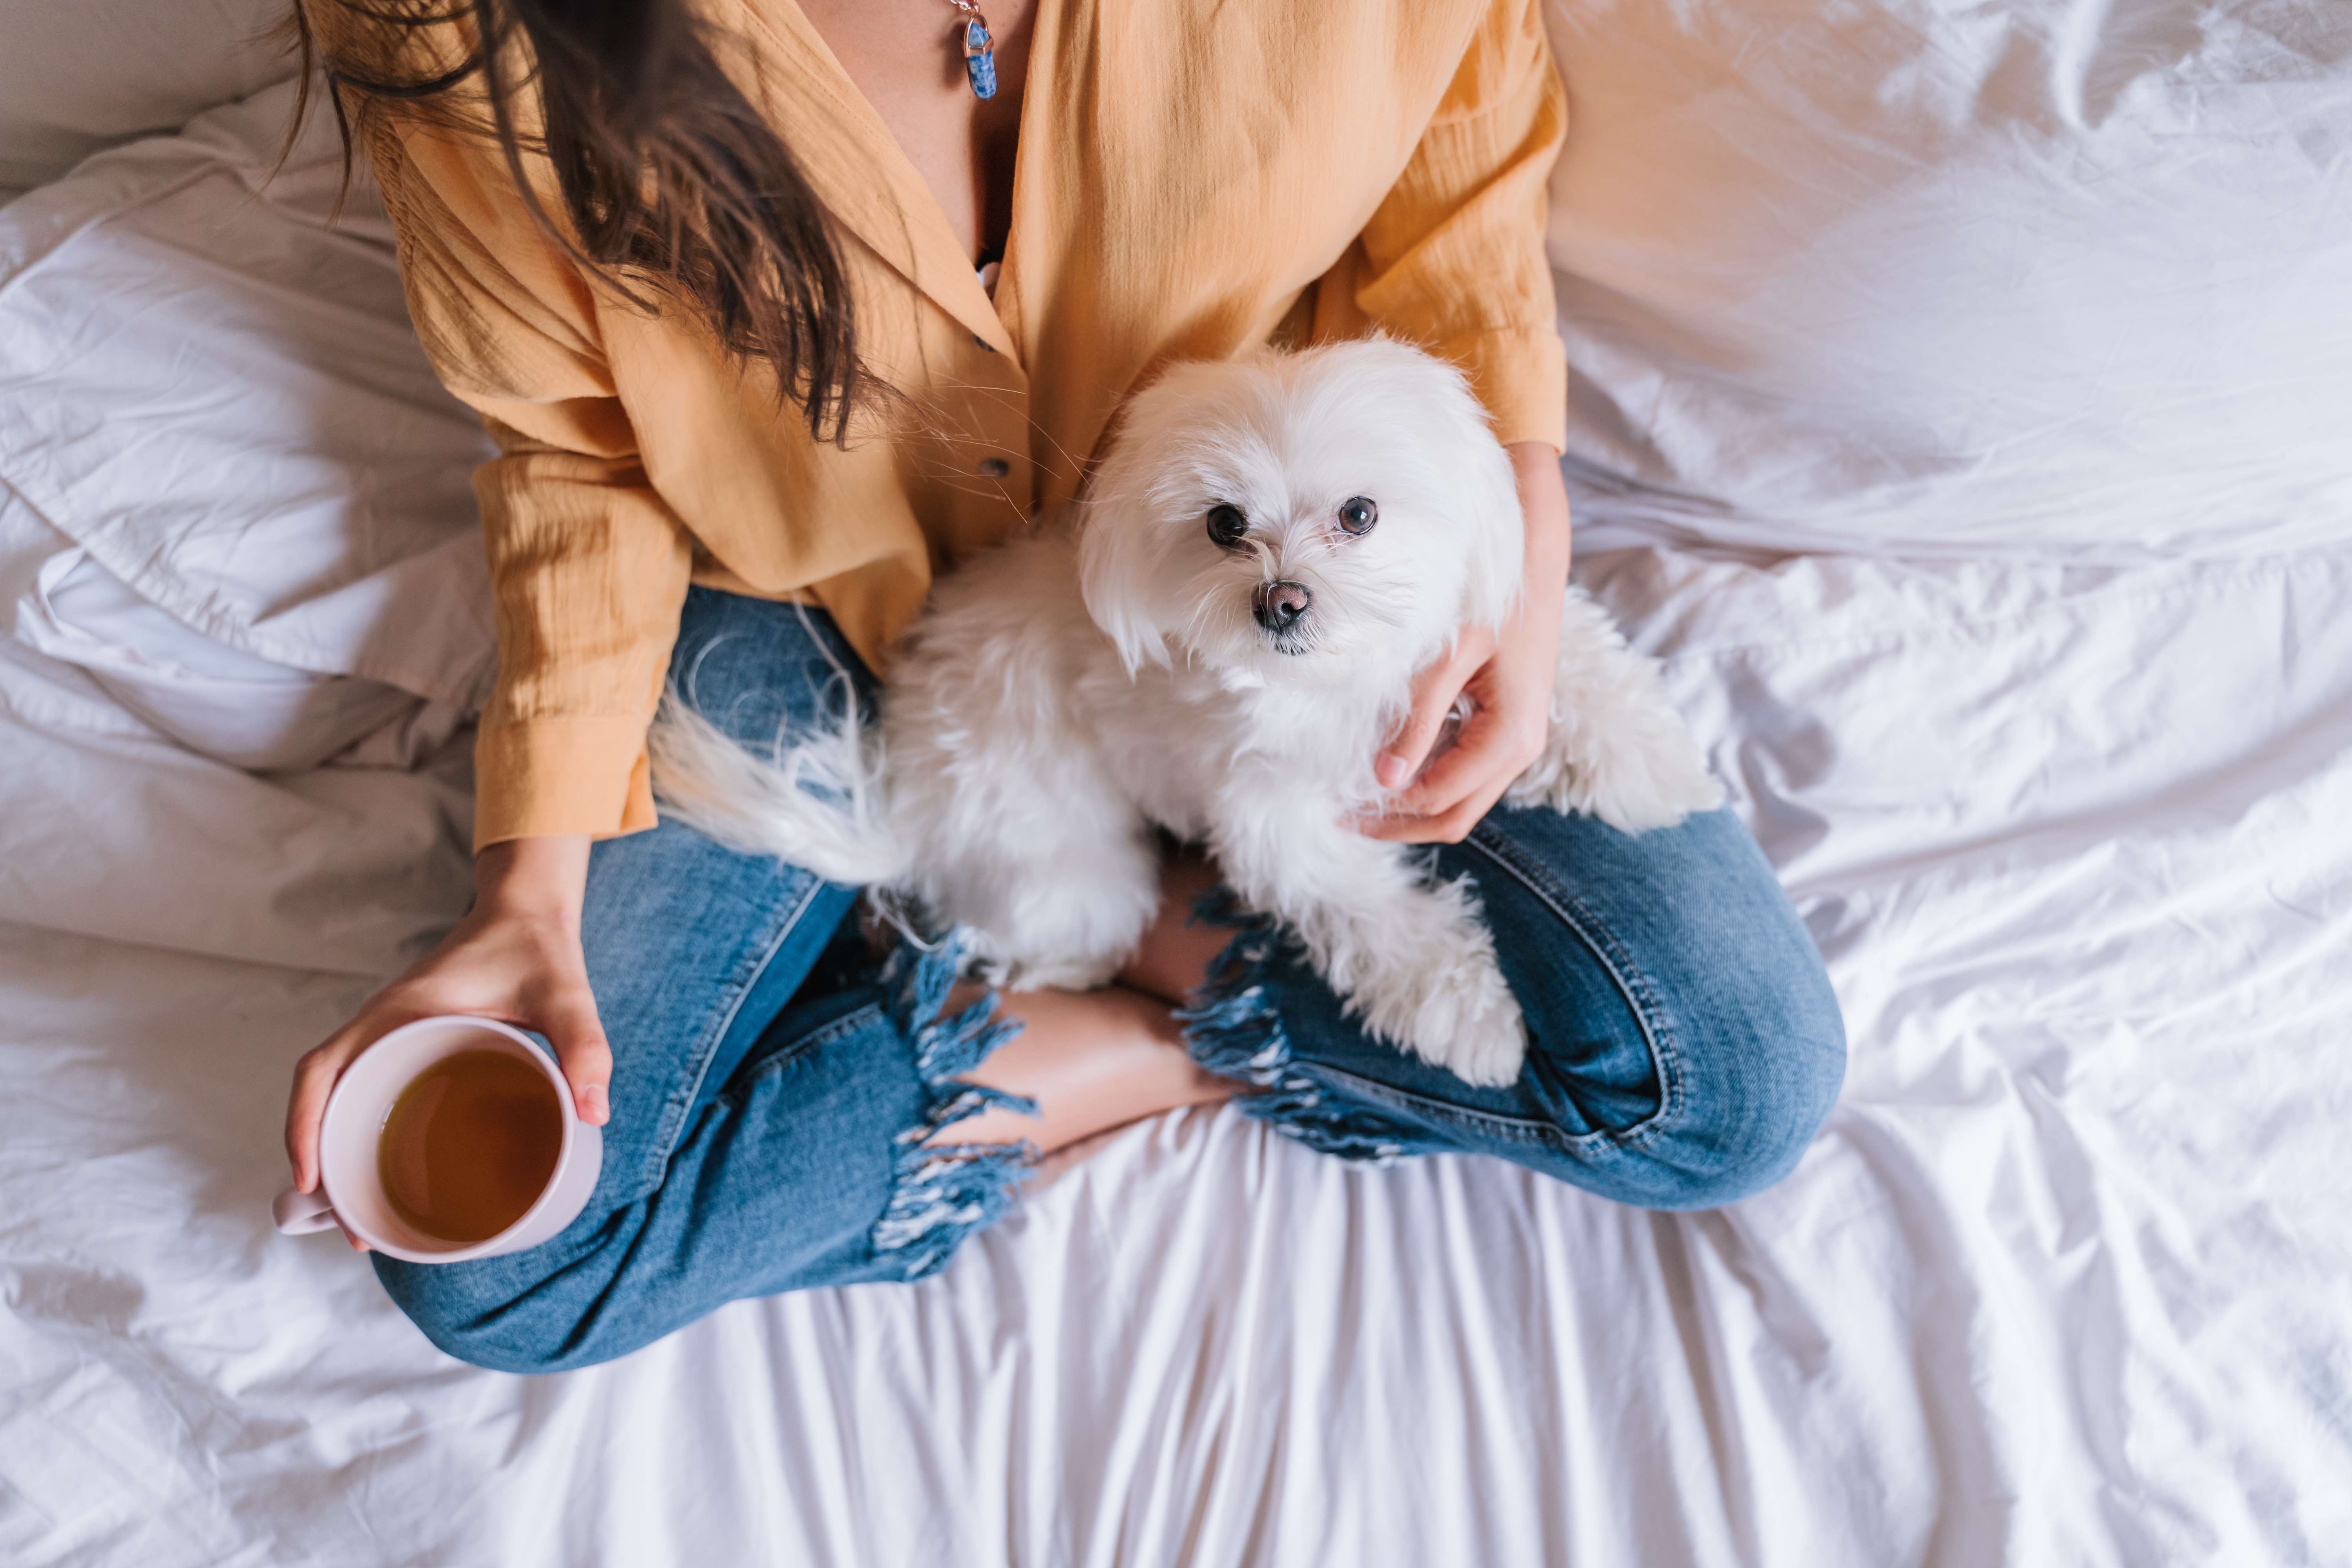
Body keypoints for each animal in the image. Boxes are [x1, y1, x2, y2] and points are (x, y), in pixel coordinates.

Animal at [654, 338, 1722, 1086]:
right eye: (1223, 525)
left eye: (1361, 514)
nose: (1280, 601)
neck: (1335, 681)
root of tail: (904, 800)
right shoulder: (1275, 818)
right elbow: (1376, 914)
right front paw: (1470, 1017)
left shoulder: (1449, 652)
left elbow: (1570, 663)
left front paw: (1650, 760)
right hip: (1067, 866)